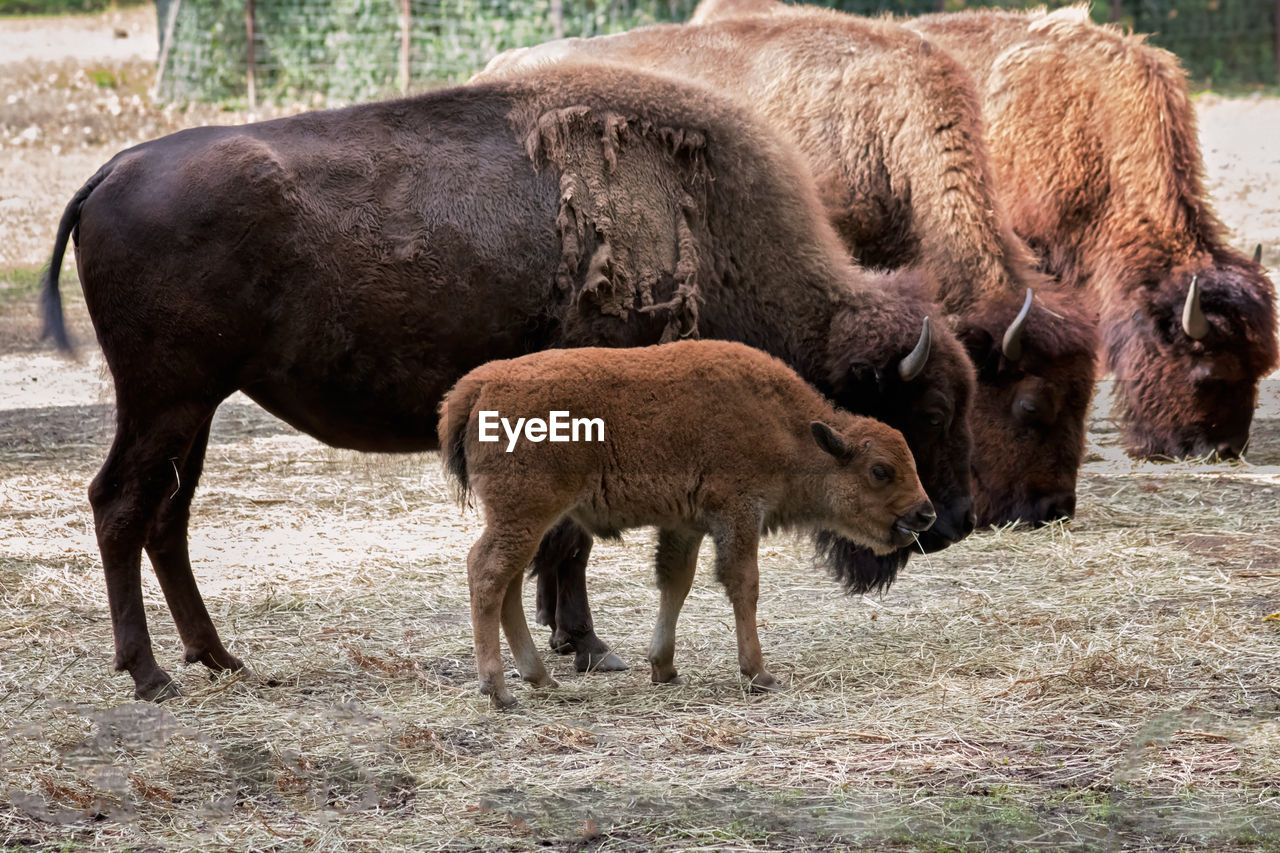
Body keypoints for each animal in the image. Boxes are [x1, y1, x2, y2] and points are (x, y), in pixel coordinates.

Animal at [437, 338, 931, 701]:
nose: (924, 514)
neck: (789, 427)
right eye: (880, 471)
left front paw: (664, 668)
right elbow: (743, 584)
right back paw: (498, 689)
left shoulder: (685, 525)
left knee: (508, 585)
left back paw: (539, 677)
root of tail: (478, 386)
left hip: (528, 520)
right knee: (486, 573)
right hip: (524, 514)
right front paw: (760, 674)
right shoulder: (738, 512)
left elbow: (676, 583)